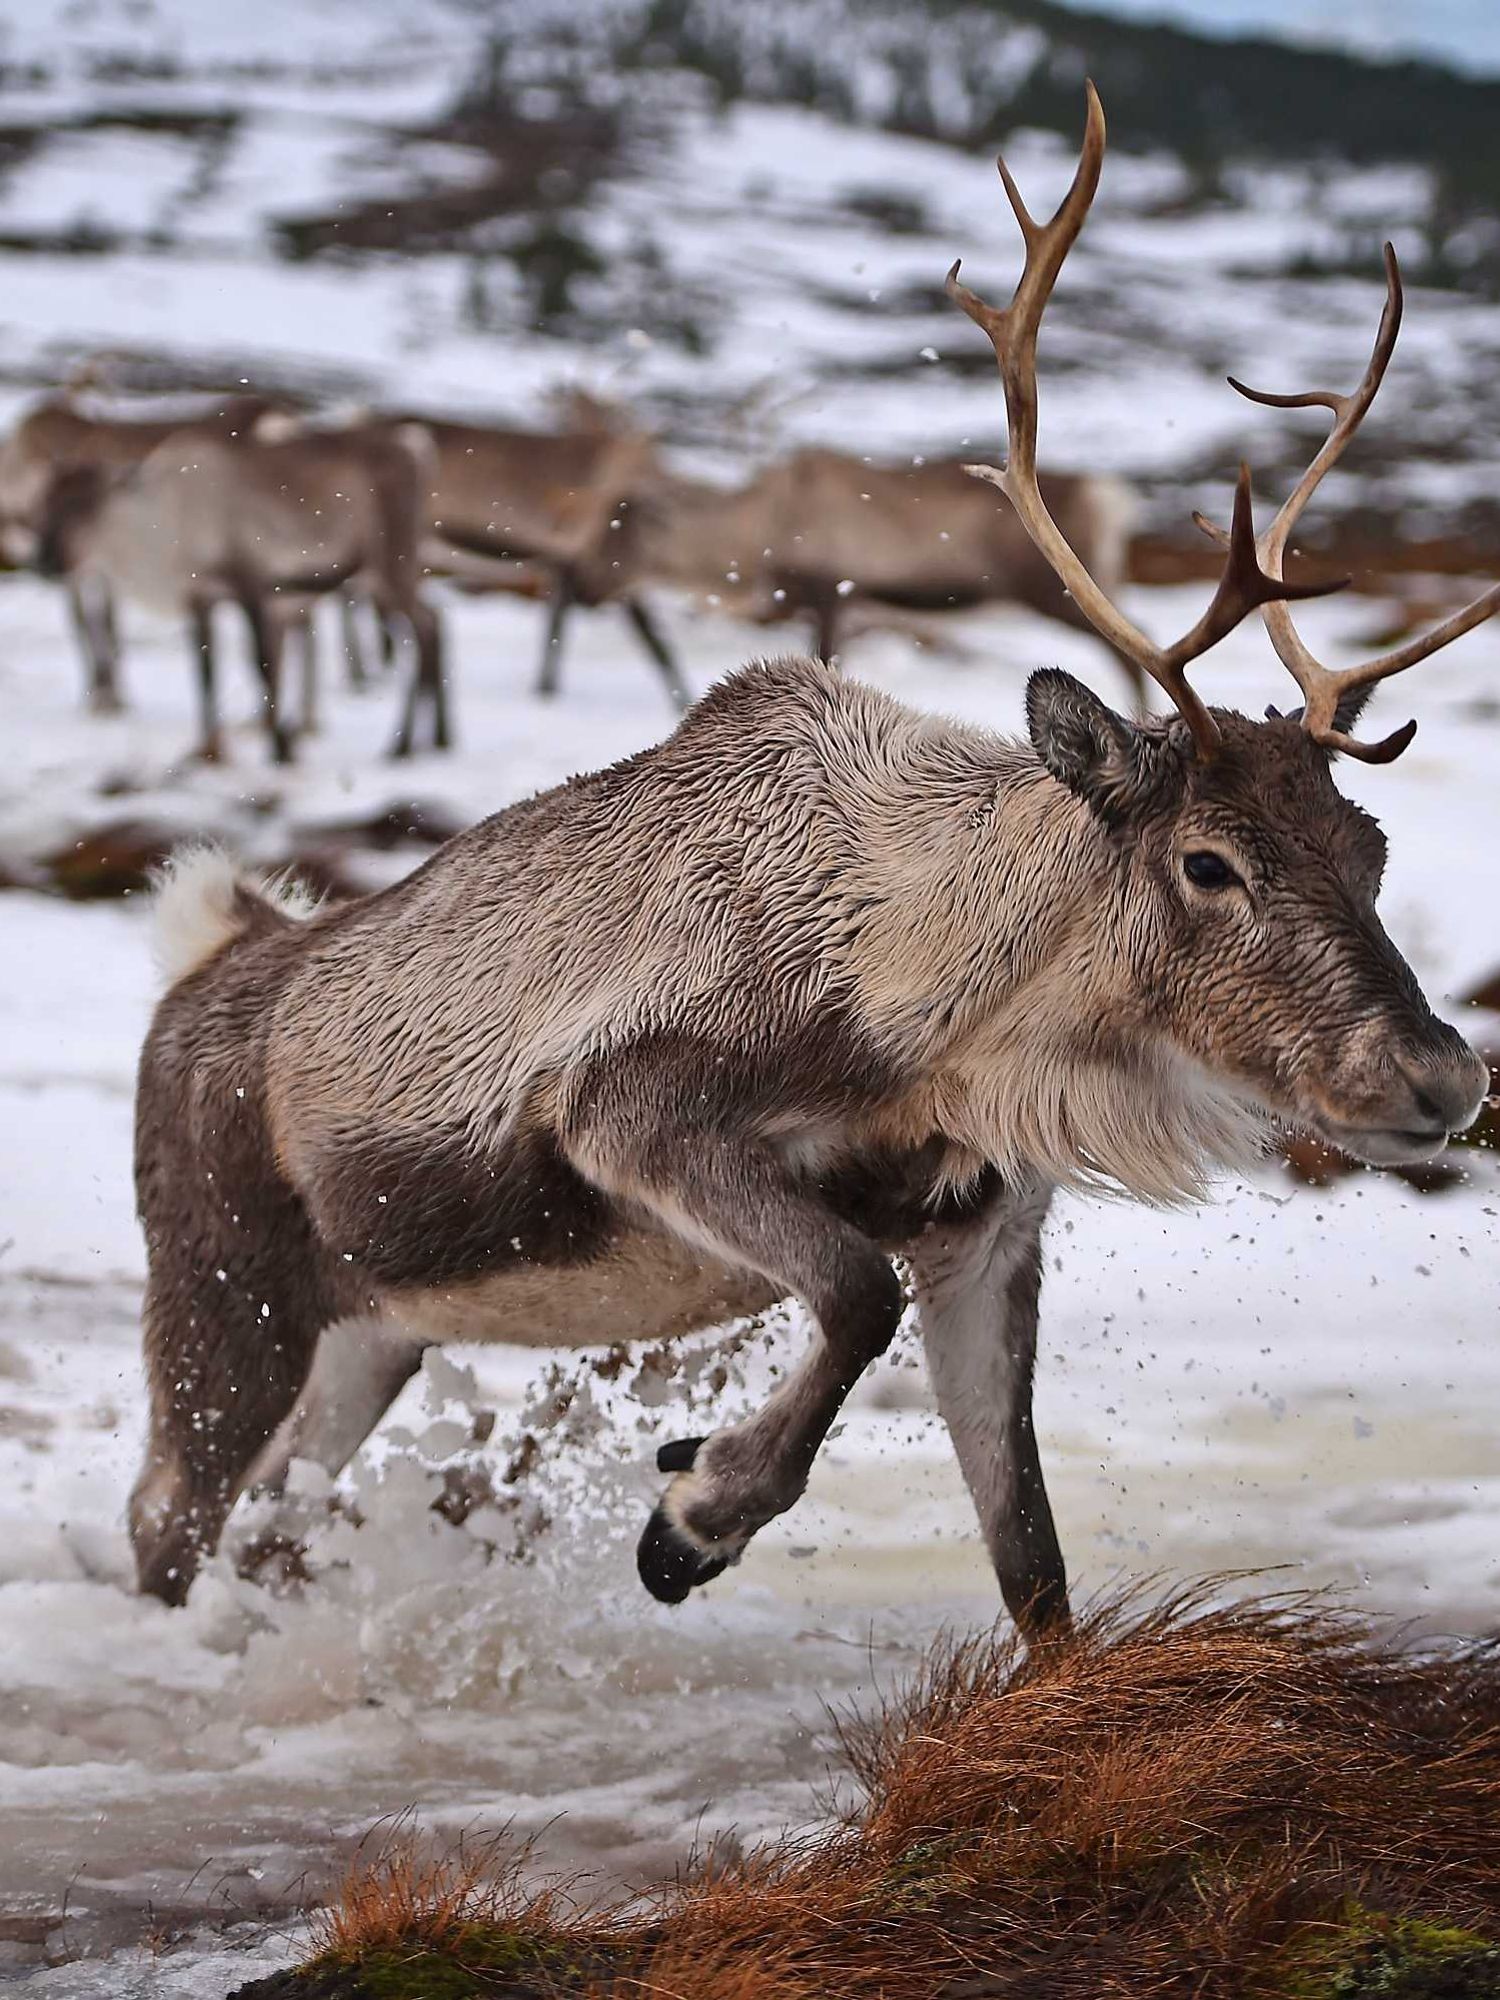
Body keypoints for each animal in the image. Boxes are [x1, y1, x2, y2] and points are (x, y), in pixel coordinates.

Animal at [34, 415, 447, 763]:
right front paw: (209, 748)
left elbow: (263, 665)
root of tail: (416, 450)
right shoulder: (200, 598)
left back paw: (403, 745)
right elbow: (205, 672)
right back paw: (434, 739)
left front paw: (280, 748)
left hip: (391, 565)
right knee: (430, 622)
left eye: (83, 503)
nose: (45, 562)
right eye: (44, 502)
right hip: (382, 576)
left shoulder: (251, 584)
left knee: (424, 629)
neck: (165, 531)